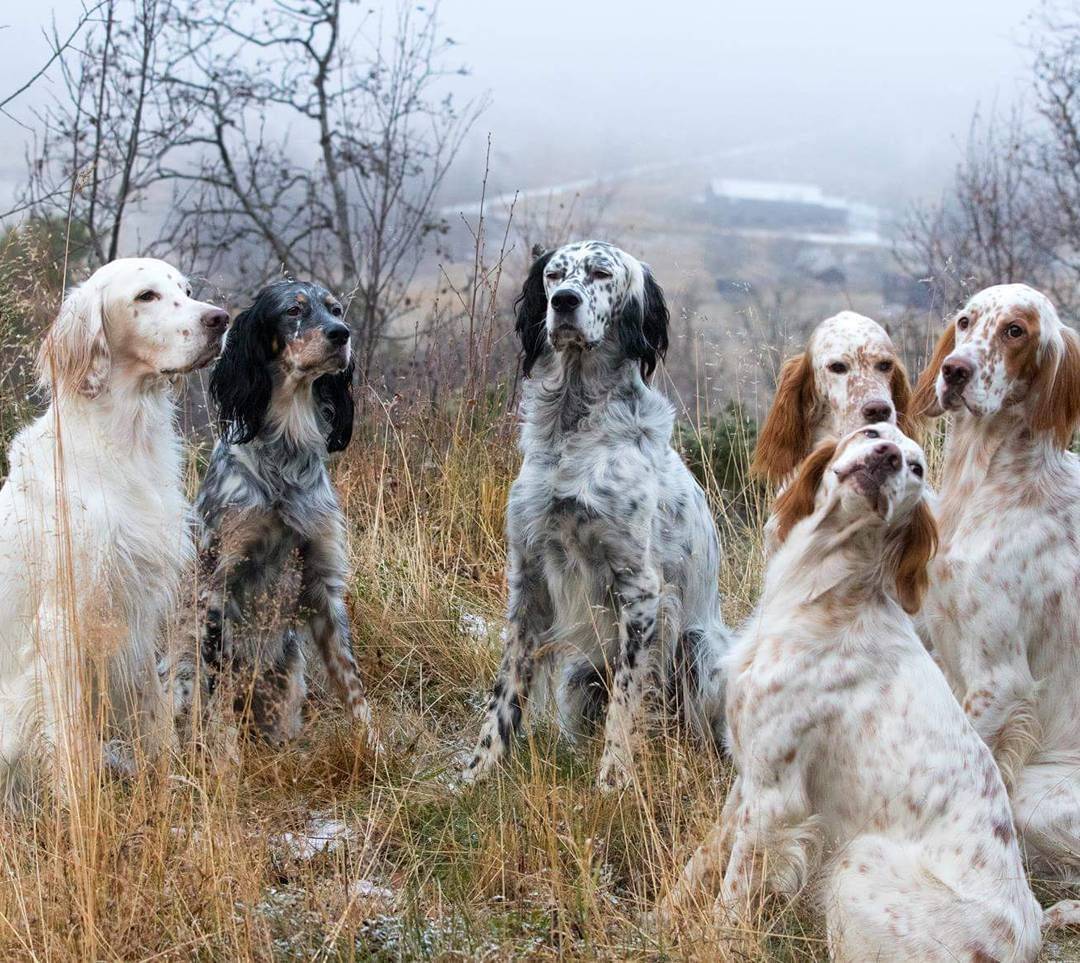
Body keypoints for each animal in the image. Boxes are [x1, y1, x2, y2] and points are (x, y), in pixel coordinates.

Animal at [0, 253, 225, 798]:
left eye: (187, 291)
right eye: (146, 296)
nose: (221, 319)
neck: (126, 444)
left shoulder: (137, 611)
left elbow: (153, 715)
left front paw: (167, 781)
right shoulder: (62, 620)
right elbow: (69, 738)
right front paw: (76, 801)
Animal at [162, 274, 375, 747]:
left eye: (335, 309)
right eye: (293, 310)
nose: (342, 334)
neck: (286, 454)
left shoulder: (322, 578)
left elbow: (352, 684)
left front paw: (376, 749)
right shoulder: (217, 585)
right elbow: (219, 690)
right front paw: (224, 756)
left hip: (289, 670)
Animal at [460, 238, 730, 790]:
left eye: (602, 273)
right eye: (554, 275)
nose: (563, 301)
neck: (574, 419)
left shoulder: (641, 588)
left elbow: (627, 699)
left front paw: (613, 780)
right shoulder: (529, 575)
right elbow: (506, 689)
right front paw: (478, 772)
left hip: (697, 647)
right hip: (578, 673)